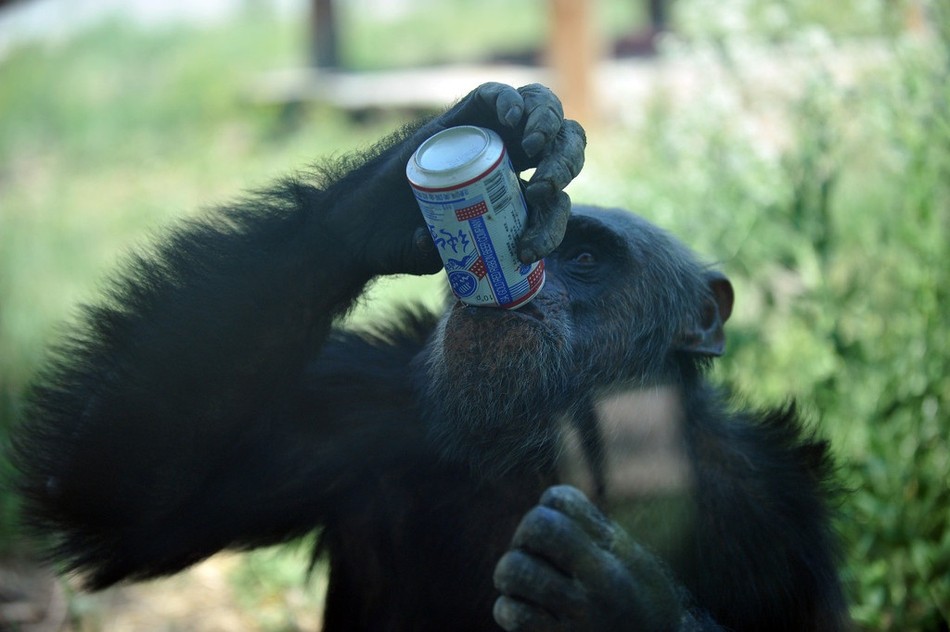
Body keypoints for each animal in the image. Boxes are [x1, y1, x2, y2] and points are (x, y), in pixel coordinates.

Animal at [11, 85, 848, 632]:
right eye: (546, 236)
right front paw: (437, 154)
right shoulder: (362, 408)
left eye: (583, 256)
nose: (522, 277)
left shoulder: (776, 507)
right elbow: (121, 498)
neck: (564, 444)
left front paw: (615, 599)